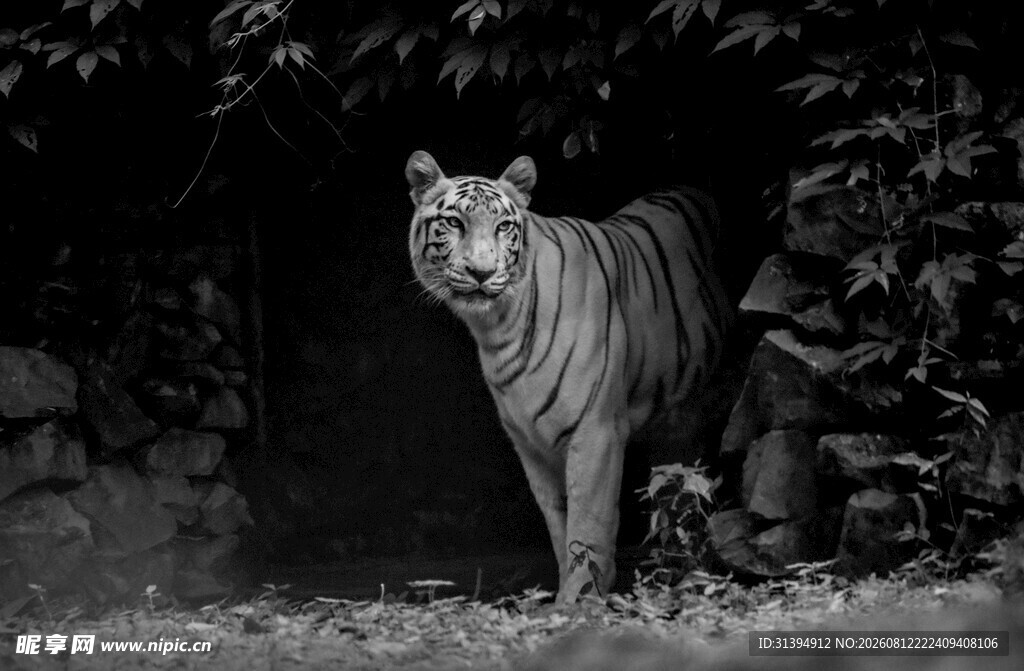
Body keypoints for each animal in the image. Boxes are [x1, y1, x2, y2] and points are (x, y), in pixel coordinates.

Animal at [405, 150, 731, 603]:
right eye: (454, 223)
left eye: (503, 226)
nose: (482, 272)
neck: (498, 327)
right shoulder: (530, 443)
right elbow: (559, 523)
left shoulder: (596, 431)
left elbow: (587, 524)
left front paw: (580, 599)